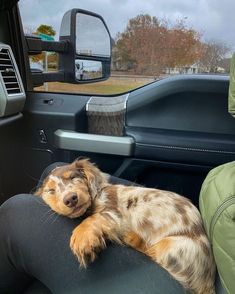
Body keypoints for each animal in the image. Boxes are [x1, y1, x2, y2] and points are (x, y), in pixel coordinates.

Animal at [35, 160, 215, 292]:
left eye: (73, 177)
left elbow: (93, 218)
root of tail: (208, 281)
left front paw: (82, 238)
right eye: (51, 191)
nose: (71, 199)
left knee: (153, 253)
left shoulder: (114, 214)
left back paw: (132, 238)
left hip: (172, 246)